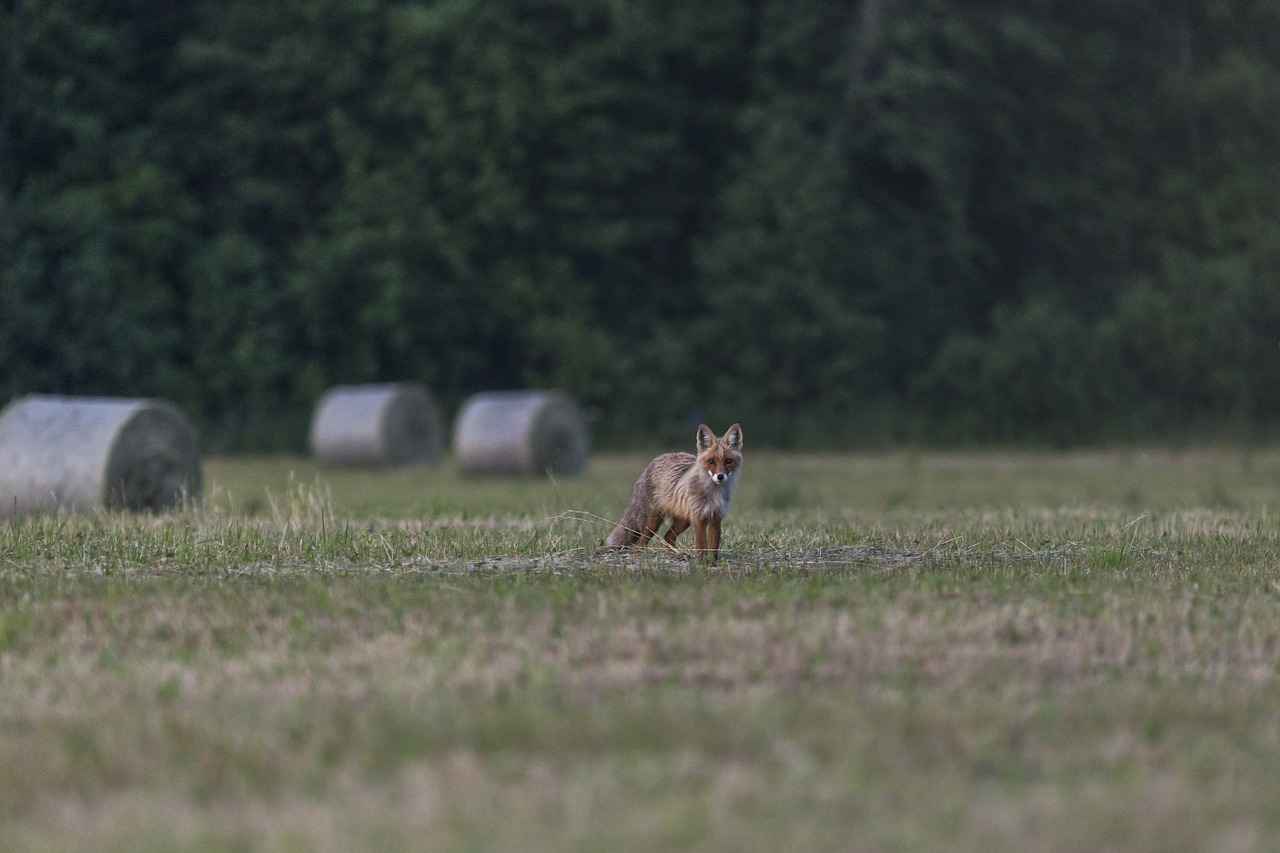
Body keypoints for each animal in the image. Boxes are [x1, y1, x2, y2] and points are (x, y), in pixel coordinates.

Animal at [606, 422, 747, 558]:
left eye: (728, 461)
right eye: (711, 461)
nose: (720, 476)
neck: (713, 494)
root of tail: (657, 459)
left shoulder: (716, 518)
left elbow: (713, 549)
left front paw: (711, 563)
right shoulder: (699, 518)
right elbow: (701, 546)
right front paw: (701, 563)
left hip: (683, 521)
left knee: (667, 537)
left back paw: (676, 554)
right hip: (653, 521)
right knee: (641, 543)